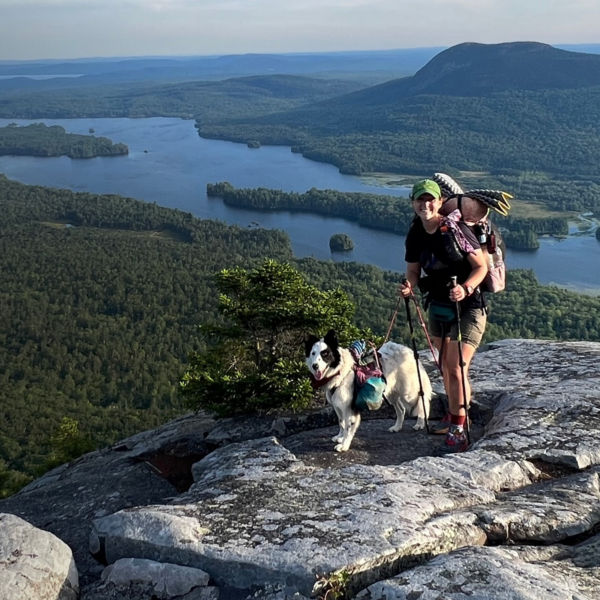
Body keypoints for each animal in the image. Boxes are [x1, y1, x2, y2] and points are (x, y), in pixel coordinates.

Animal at [304, 330, 432, 452]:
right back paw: (397, 427)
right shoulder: (338, 405)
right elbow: (341, 423)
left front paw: (344, 445)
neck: (339, 371)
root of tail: (408, 350)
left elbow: (348, 428)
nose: (315, 366)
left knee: (422, 400)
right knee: (401, 409)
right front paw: (340, 437)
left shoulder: (349, 408)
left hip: (408, 393)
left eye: (325, 354)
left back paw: (420, 423)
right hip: (392, 393)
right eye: (313, 353)